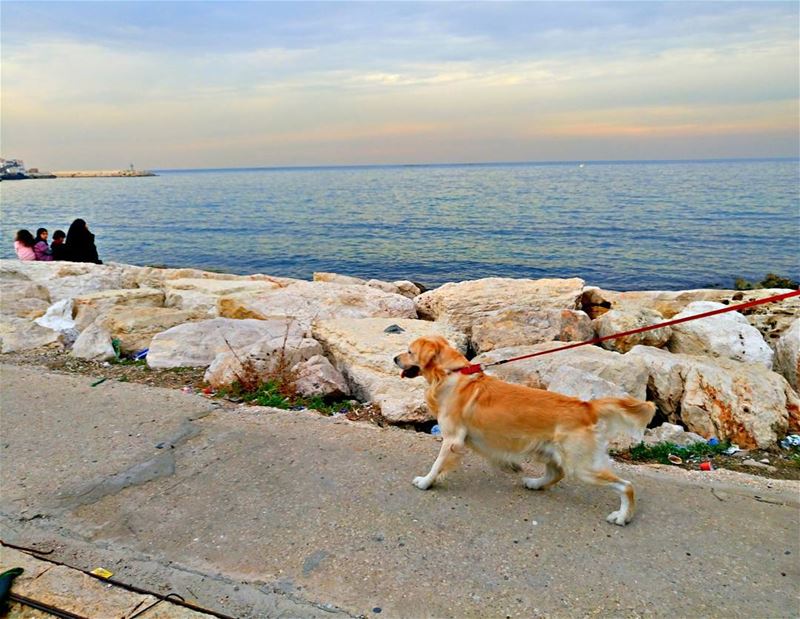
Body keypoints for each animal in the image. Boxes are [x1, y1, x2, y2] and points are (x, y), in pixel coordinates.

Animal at [396, 336, 656, 524]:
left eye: (409, 351)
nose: (394, 358)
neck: (451, 374)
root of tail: (586, 406)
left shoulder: (452, 438)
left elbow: (437, 464)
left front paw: (425, 482)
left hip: (582, 465)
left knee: (626, 486)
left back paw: (622, 516)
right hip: (552, 451)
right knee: (556, 473)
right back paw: (535, 483)